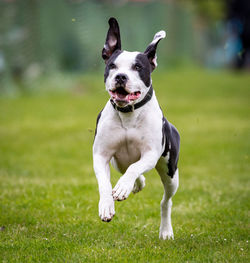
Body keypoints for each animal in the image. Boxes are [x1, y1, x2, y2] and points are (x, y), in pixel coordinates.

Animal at [92, 17, 180, 240]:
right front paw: (107, 205)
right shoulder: (101, 155)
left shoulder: (150, 154)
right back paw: (136, 185)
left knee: (166, 201)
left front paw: (123, 187)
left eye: (138, 67)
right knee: (132, 170)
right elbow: (104, 183)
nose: (121, 76)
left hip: (170, 173)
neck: (128, 114)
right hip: (118, 162)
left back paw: (165, 230)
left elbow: (135, 167)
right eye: (112, 66)